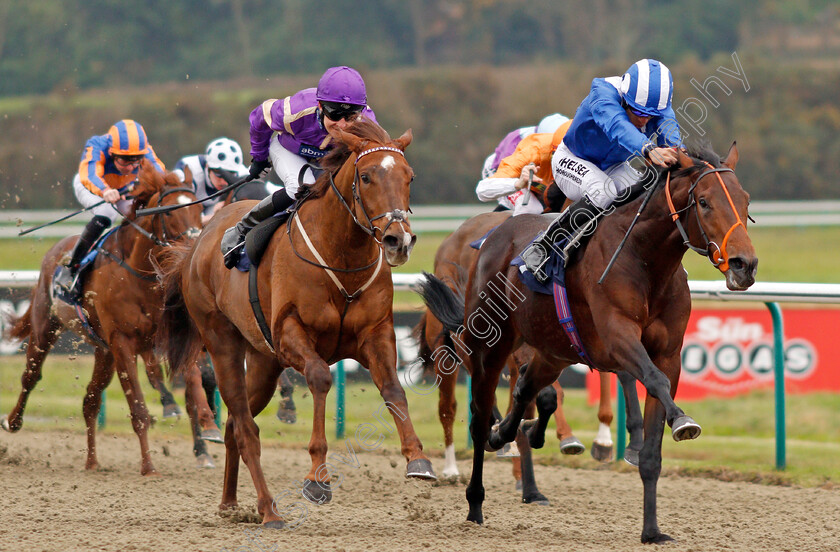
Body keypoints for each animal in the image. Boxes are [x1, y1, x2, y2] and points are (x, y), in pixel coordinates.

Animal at [2, 161, 220, 474]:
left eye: (199, 209)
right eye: (169, 212)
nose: (194, 248)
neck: (140, 276)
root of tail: (55, 250)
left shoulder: (166, 338)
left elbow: (193, 382)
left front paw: (209, 424)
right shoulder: (123, 342)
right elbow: (139, 408)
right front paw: (148, 466)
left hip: (104, 353)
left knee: (90, 401)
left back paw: (92, 461)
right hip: (46, 328)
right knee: (31, 375)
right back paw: (13, 421)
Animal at [159, 118, 434, 528]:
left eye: (409, 176)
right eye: (366, 176)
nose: (398, 240)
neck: (342, 256)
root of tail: (198, 243)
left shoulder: (376, 334)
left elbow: (393, 389)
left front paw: (418, 459)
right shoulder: (291, 335)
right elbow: (320, 377)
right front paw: (317, 478)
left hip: (263, 362)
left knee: (234, 426)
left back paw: (230, 503)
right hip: (222, 342)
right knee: (245, 427)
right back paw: (269, 510)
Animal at [416, 143, 756, 544]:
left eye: (745, 200)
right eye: (704, 202)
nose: (745, 264)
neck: (646, 261)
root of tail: (493, 235)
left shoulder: (668, 355)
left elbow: (653, 445)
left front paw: (652, 530)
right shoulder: (618, 337)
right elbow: (650, 379)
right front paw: (683, 420)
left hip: (553, 351)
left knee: (526, 390)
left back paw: (508, 435)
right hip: (491, 346)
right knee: (479, 416)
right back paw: (475, 501)